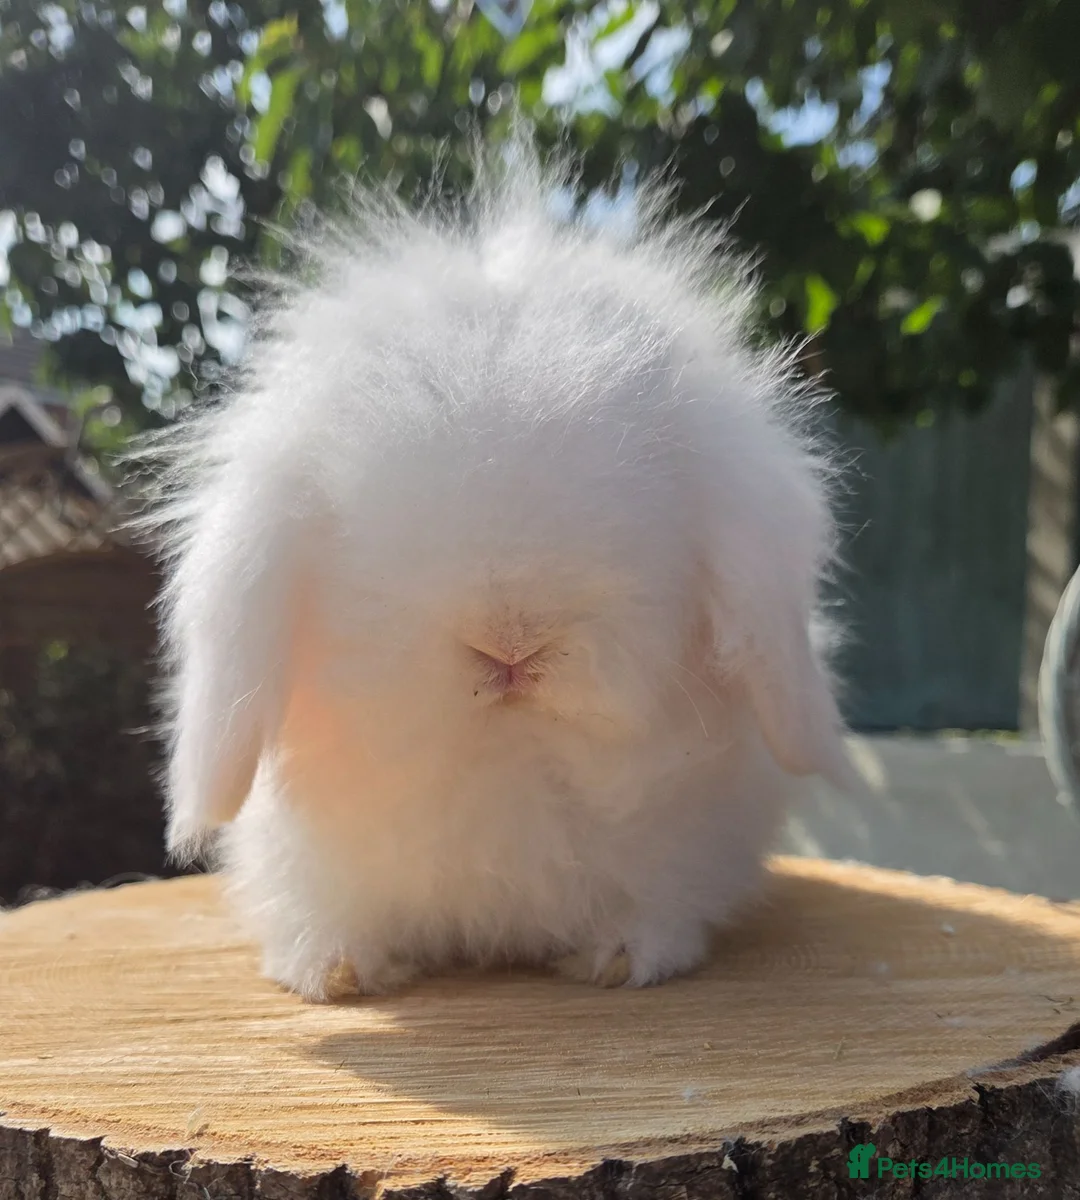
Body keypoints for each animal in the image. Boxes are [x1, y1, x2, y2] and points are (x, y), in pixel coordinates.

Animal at [146, 135, 854, 1002]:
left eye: (651, 504)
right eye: (356, 541)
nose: (512, 646)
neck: (509, 767)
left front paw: (628, 958)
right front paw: (333, 972)